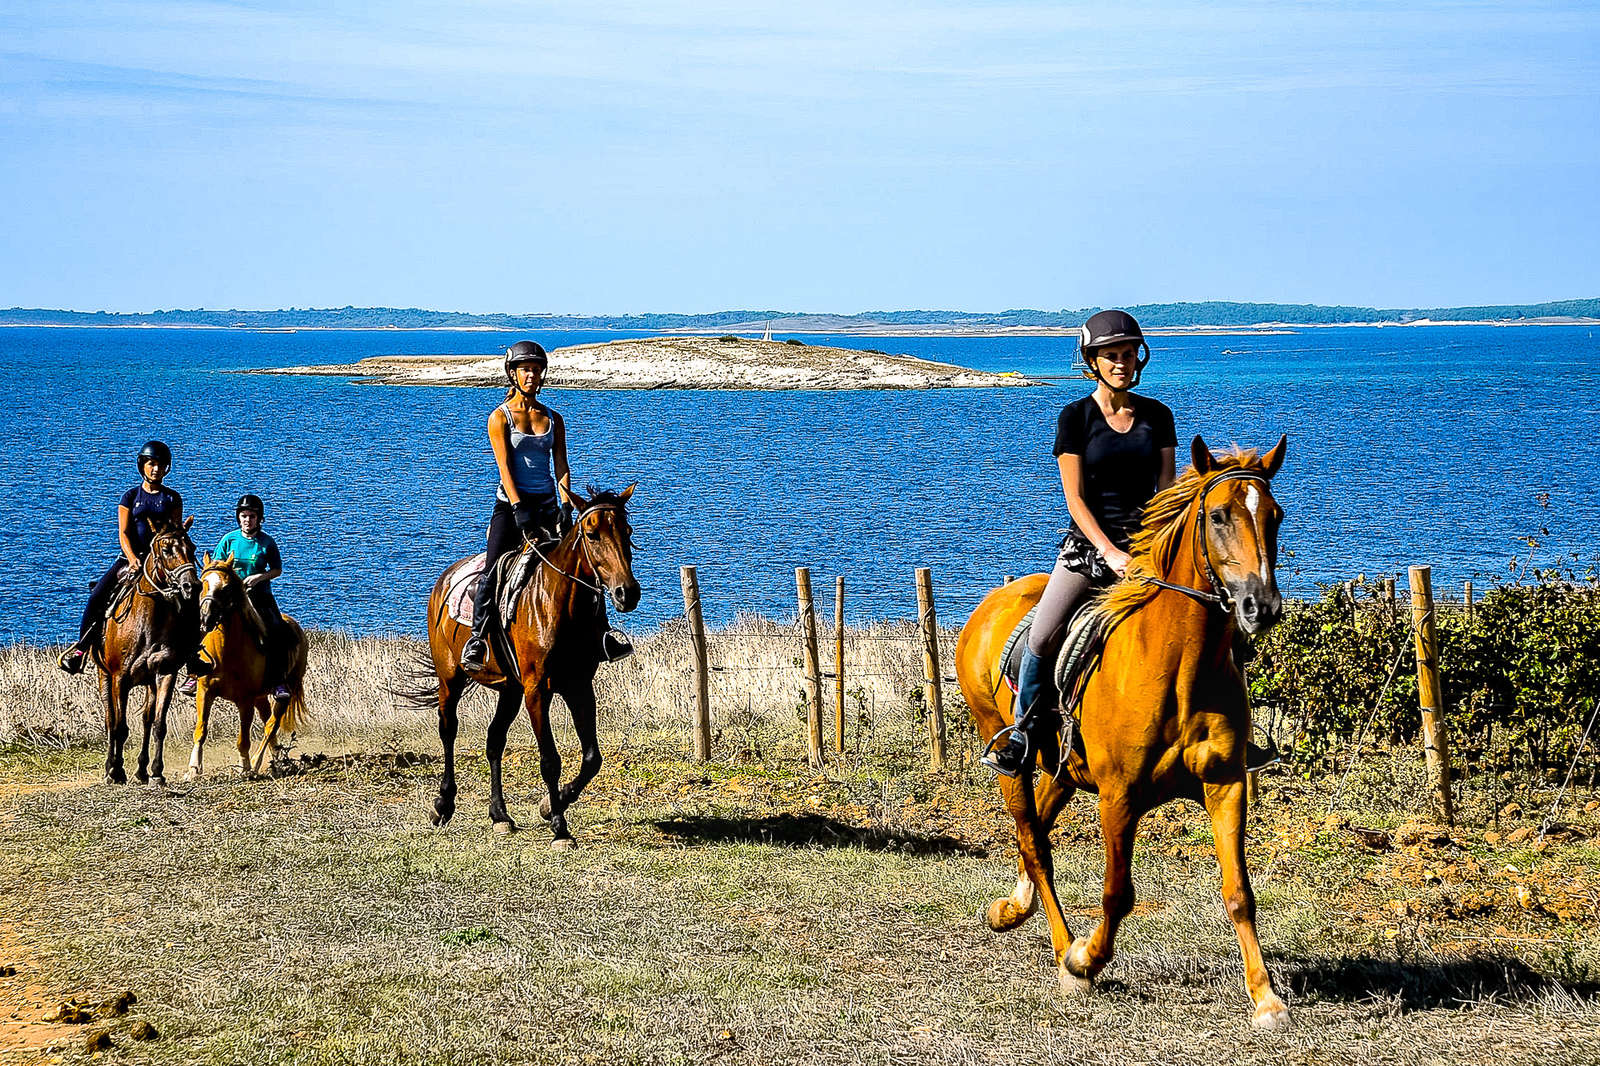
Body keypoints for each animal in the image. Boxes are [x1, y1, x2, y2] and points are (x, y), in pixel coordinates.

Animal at [91, 518, 200, 784]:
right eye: (167, 549)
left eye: (191, 548)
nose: (192, 586)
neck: (149, 621)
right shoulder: (120, 678)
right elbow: (120, 726)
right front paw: (116, 770)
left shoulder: (165, 674)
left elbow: (159, 724)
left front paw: (157, 772)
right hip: (104, 675)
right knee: (110, 718)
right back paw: (109, 767)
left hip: (149, 682)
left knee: (147, 720)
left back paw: (142, 770)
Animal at [185, 550, 307, 777]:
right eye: (202, 583)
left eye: (226, 588)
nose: (205, 618)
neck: (225, 654)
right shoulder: (204, 691)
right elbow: (201, 730)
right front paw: (193, 769)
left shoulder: (245, 700)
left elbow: (243, 739)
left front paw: (245, 767)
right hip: (261, 697)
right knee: (268, 723)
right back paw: (277, 761)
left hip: (286, 692)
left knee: (271, 726)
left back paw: (258, 763)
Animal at [432, 486, 643, 845]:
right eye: (592, 534)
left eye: (626, 532)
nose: (627, 593)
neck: (559, 605)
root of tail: (444, 579)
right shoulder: (537, 692)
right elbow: (550, 760)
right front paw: (559, 827)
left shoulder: (578, 686)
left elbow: (592, 758)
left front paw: (551, 804)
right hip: (451, 678)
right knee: (448, 730)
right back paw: (443, 804)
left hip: (510, 690)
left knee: (494, 741)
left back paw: (500, 816)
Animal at [953, 435, 1292, 1024]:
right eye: (1219, 515)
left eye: (1273, 516)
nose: (1261, 605)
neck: (1181, 666)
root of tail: (989, 606)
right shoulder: (1119, 796)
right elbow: (1118, 893)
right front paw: (1085, 961)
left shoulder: (1226, 783)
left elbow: (1239, 892)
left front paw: (1266, 999)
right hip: (1007, 754)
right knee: (1034, 842)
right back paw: (1064, 949)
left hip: (1064, 768)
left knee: (1038, 829)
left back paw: (1012, 909)